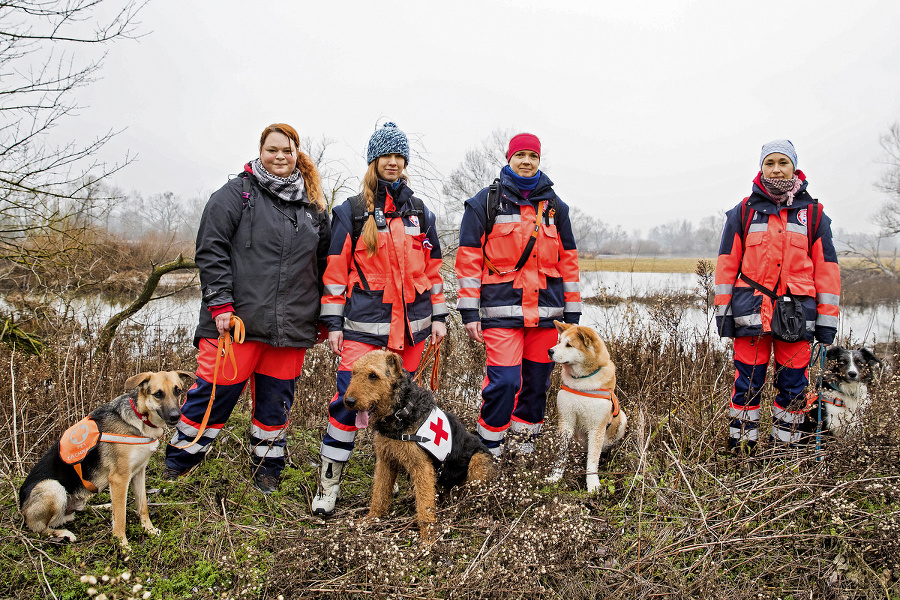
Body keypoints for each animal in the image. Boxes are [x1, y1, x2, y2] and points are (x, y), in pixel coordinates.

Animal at [18, 368, 193, 548]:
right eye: (158, 394)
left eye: (177, 391)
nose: (175, 416)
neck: (140, 418)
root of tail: (21, 507)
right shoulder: (119, 479)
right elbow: (121, 517)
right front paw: (122, 544)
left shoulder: (139, 472)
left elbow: (142, 505)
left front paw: (149, 529)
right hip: (52, 487)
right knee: (41, 529)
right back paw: (64, 533)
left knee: (80, 510)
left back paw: (105, 506)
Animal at [342, 346, 492, 540]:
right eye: (354, 373)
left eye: (373, 375)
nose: (349, 402)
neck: (401, 411)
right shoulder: (385, 461)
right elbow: (379, 494)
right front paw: (371, 520)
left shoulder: (422, 467)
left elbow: (424, 506)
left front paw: (427, 539)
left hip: (478, 461)